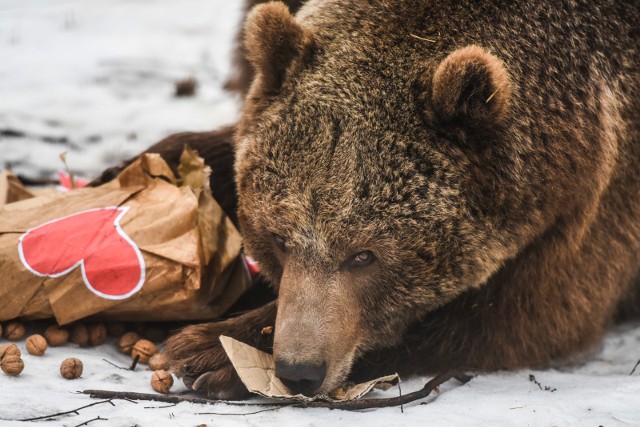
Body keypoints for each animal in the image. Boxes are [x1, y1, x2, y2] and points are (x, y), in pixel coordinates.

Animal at [96, 0, 640, 402]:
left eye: (365, 255)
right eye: (278, 238)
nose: (298, 370)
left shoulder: (593, 203)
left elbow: (518, 315)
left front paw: (210, 351)